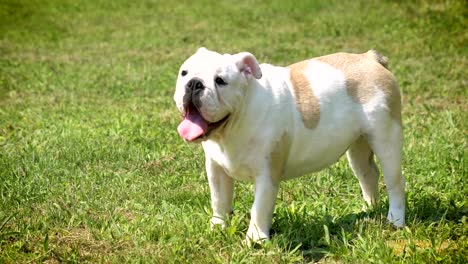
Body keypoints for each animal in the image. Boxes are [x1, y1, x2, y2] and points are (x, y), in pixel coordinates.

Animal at [174, 48, 404, 243]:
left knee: (395, 182)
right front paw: (218, 227)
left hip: (386, 139)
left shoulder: (266, 175)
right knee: (368, 174)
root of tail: (370, 58)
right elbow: (219, 201)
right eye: (184, 73)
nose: (194, 84)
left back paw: (396, 220)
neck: (234, 124)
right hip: (358, 146)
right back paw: (369, 210)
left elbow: (259, 208)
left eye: (220, 81)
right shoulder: (216, 169)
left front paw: (255, 240)